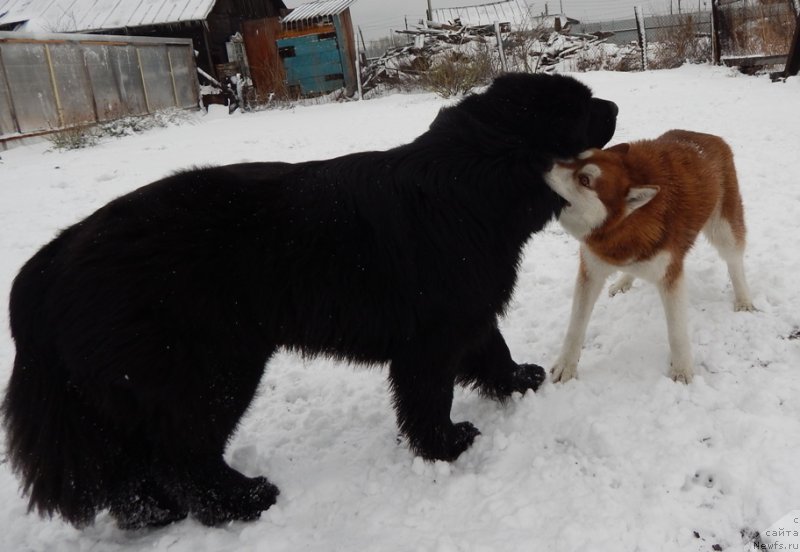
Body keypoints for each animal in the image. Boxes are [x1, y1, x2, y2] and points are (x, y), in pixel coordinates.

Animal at [1, 71, 620, 528]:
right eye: (581, 106)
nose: (614, 104)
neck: (474, 183)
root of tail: (54, 258)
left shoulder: (466, 309)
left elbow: (491, 349)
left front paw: (518, 381)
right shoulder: (432, 331)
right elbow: (429, 393)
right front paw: (446, 445)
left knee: (133, 469)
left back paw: (153, 515)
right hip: (210, 371)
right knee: (180, 456)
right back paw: (243, 501)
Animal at [544, 130, 756, 384]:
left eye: (584, 180)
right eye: (575, 156)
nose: (543, 161)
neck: (623, 226)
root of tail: (708, 136)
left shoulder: (670, 275)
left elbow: (676, 332)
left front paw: (682, 369)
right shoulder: (592, 271)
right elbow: (575, 326)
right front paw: (566, 365)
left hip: (724, 230)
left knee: (734, 261)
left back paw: (743, 298)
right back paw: (624, 281)